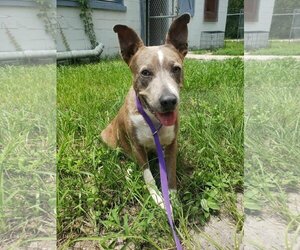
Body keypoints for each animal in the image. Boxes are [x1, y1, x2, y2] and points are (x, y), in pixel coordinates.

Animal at [101, 13, 190, 207]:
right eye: (145, 73)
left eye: (176, 69)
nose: (169, 101)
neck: (153, 119)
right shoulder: (138, 147)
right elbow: (148, 175)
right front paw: (157, 197)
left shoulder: (172, 145)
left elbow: (170, 173)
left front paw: (173, 199)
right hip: (108, 139)